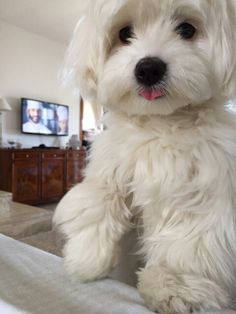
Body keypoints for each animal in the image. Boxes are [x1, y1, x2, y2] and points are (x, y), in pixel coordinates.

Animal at [53, 0, 236, 312]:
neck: (160, 122)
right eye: (125, 33)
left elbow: (190, 237)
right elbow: (97, 200)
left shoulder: (205, 185)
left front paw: (174, 286)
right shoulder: (111, 162)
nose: (149, 69)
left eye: (187, 30)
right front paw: (86, 259)